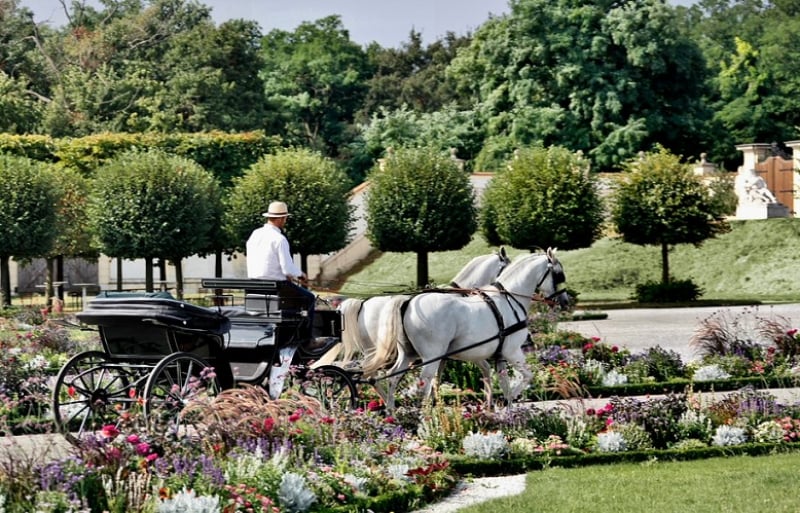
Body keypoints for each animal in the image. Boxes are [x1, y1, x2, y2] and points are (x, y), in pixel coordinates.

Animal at [362, 246, 568, 410]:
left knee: (392, 377)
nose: (565, 301)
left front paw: (506, 411)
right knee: (423, 385)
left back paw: (392, 412)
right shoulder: (512, 351)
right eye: (559, 275)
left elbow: (503, 383)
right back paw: (424, 419)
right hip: (430, 356)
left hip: (408, 354)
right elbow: (526, 376)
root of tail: (409, 302)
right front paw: (505, 402)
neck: (508, 298)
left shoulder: (498, 356)